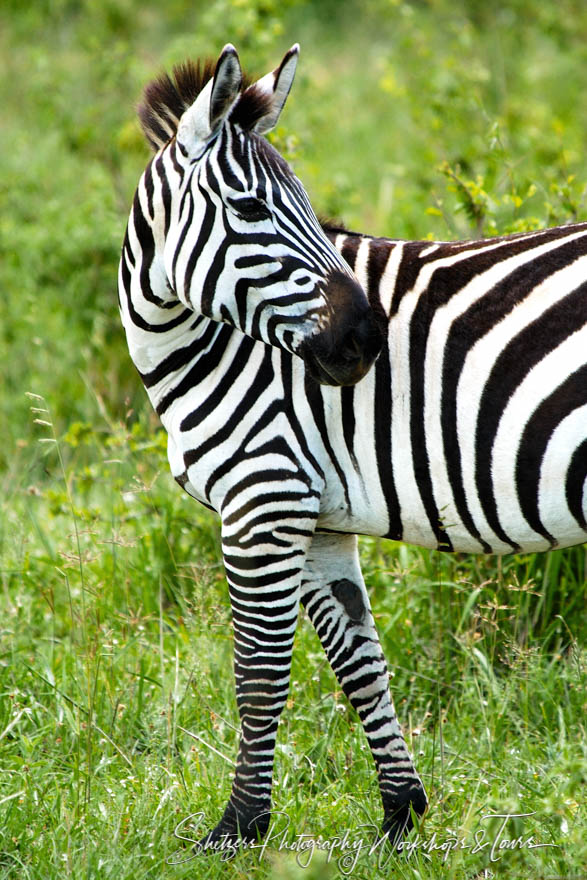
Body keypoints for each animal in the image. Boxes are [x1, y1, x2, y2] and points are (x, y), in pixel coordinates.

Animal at [117, 43, 584, 852]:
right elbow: (359, 663)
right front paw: (400, 815)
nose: (366, 340)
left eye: (308, 205)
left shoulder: (262, 501)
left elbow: (259, 675)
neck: (211, 344)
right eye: (251, 210)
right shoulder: (318, 521)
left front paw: (238, 828)